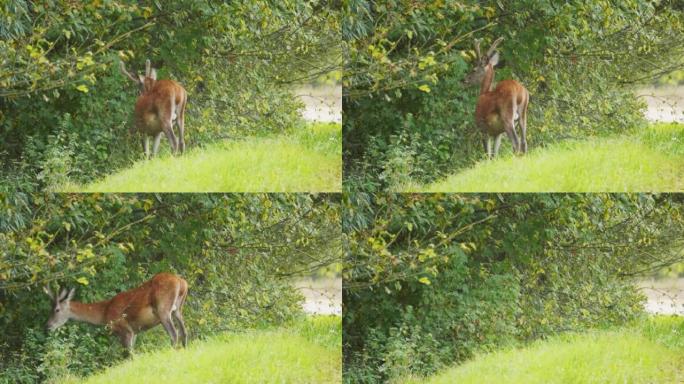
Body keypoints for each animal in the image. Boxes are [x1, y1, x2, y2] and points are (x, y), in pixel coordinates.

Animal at [44, 272, 188, 356]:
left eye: (56, 309)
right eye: (50, 308)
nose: (47, 326)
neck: (104, 313)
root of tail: (182, 282)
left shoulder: (124, 328)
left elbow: (129, 356)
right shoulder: (134, 331)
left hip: (163, 308)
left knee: (174, 333)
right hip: (178, 309)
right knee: (184, 332)